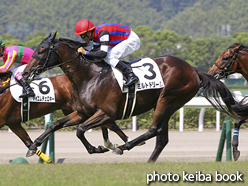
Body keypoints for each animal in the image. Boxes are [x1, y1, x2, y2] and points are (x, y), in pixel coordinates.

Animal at [21, 33, 248, 163]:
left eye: (41, 50)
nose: (26, 73)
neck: (90, 75)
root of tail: (193, 70)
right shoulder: (83, 112)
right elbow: (56, 124)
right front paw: (32, 147)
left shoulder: (106, 113)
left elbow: (80, 130)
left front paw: (98, 148)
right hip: (167, 105)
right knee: (162, 139)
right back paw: (148, 162)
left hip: (167, 100)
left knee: (154, 130)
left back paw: (124, 147)